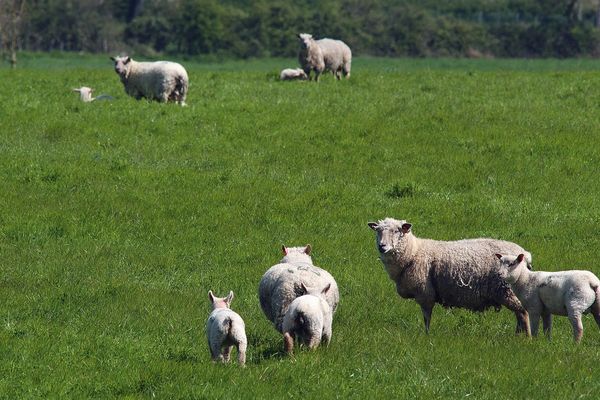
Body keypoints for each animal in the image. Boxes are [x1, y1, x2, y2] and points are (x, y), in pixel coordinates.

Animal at [368, 219, 532, 334]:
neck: (413, 252)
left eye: (397, 231)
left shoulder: (425, 293)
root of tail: (524, 255)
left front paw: (426, 335)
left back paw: (527, 338)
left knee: (523, 313)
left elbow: (427, 318)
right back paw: (518, 336)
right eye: (378, 231)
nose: (382, 246)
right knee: (520, 314)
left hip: (507, 290)